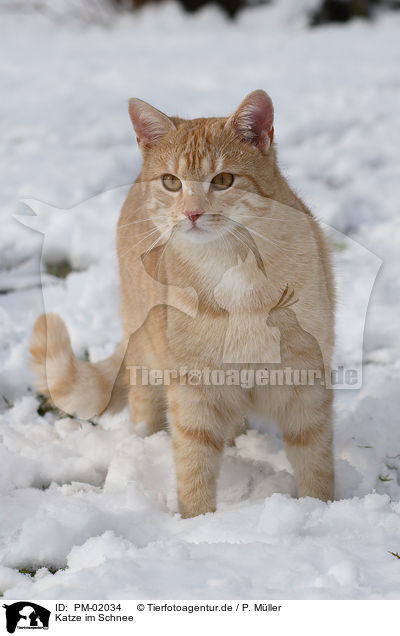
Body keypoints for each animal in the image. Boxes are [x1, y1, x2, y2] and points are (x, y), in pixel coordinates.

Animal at [30, 89, 334, 516]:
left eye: (222, 180)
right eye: (172, 182)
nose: (192, 213)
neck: (231, 270)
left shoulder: (305, 382)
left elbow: (315, 460)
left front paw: (320, 510)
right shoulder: (194, 389)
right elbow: (194, 461)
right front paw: (197, 523)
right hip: (148, 357)